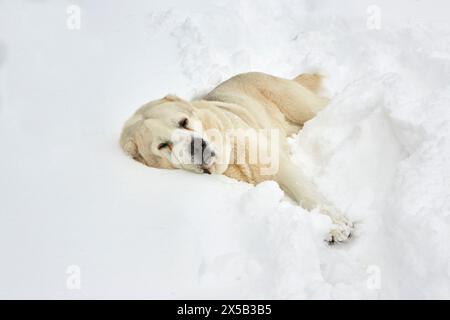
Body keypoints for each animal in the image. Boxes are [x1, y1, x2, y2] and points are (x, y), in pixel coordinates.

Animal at [121, 72, 354, 242]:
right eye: (163, 145)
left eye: (183, 122)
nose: (197, 145)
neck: (230, 157)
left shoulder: (273, 160)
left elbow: (304, 190)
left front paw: (335, 224)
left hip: (298, 104)